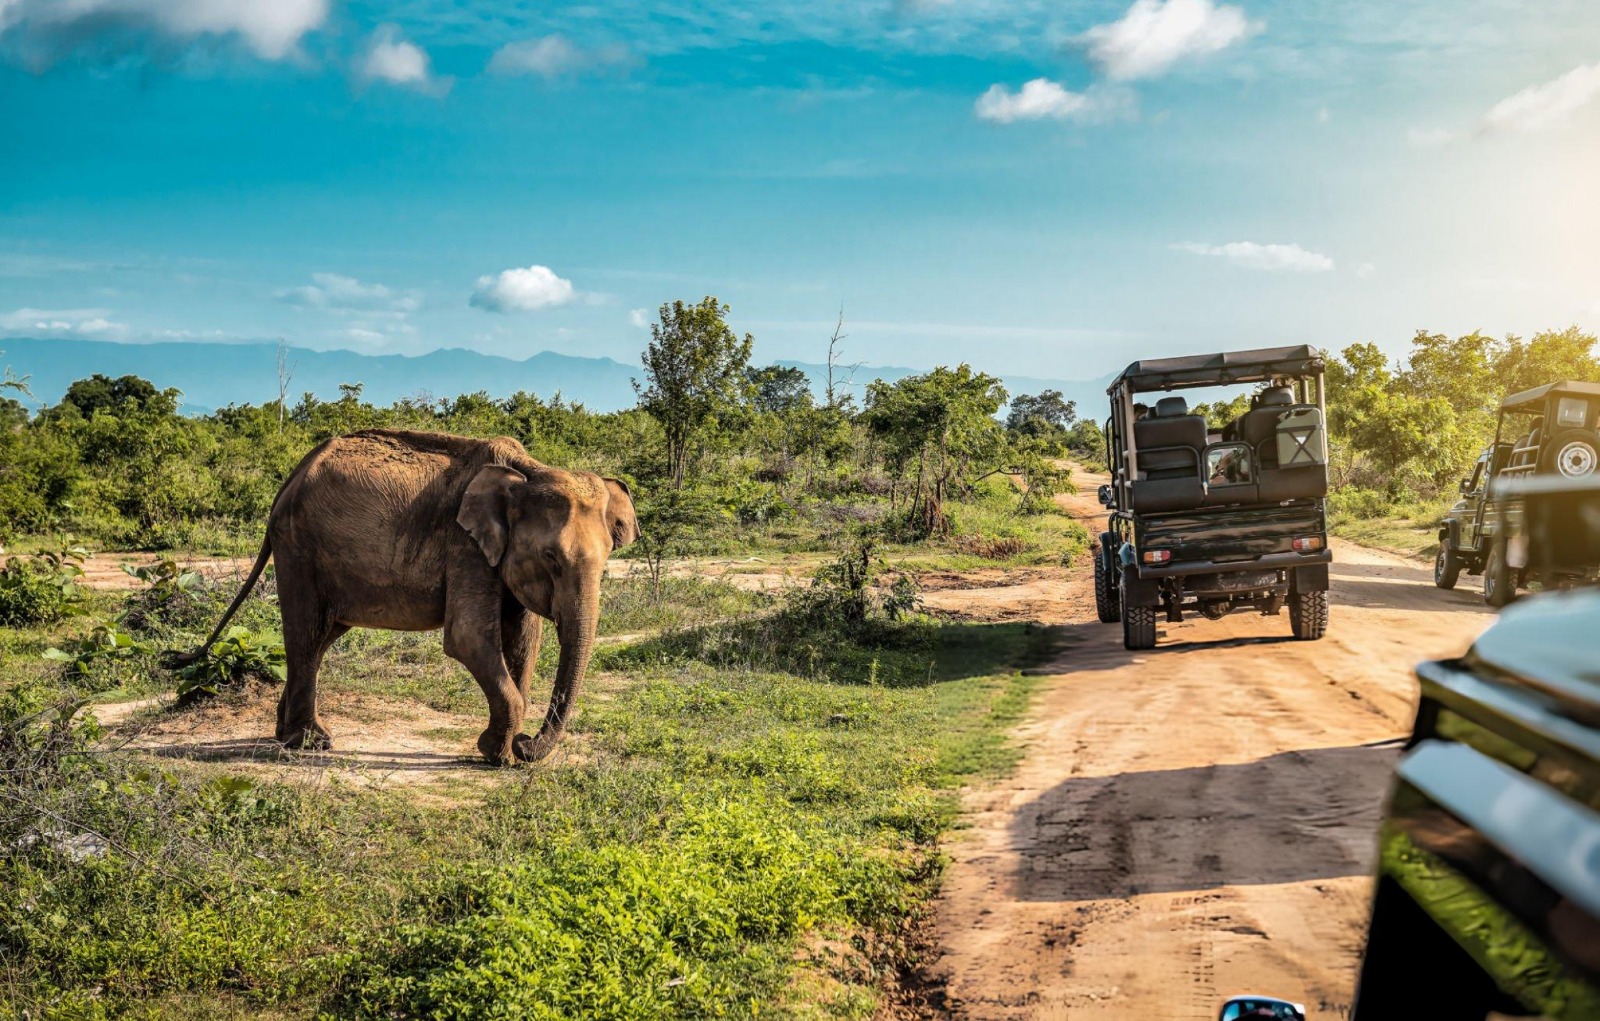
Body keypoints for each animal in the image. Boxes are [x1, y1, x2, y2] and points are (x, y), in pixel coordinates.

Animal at [185, 429, 639, 765]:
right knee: (306, 632)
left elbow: (525, 641)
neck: (527, 471)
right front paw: (497, 753)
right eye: (551, 558)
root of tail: (287, 482)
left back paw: (290, 736)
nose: (529, 744)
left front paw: (507, 753)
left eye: (607, 559)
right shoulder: (466, 547)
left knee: (321, 638)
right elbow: (468, 638)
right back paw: (308, 744)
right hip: (298, 548)